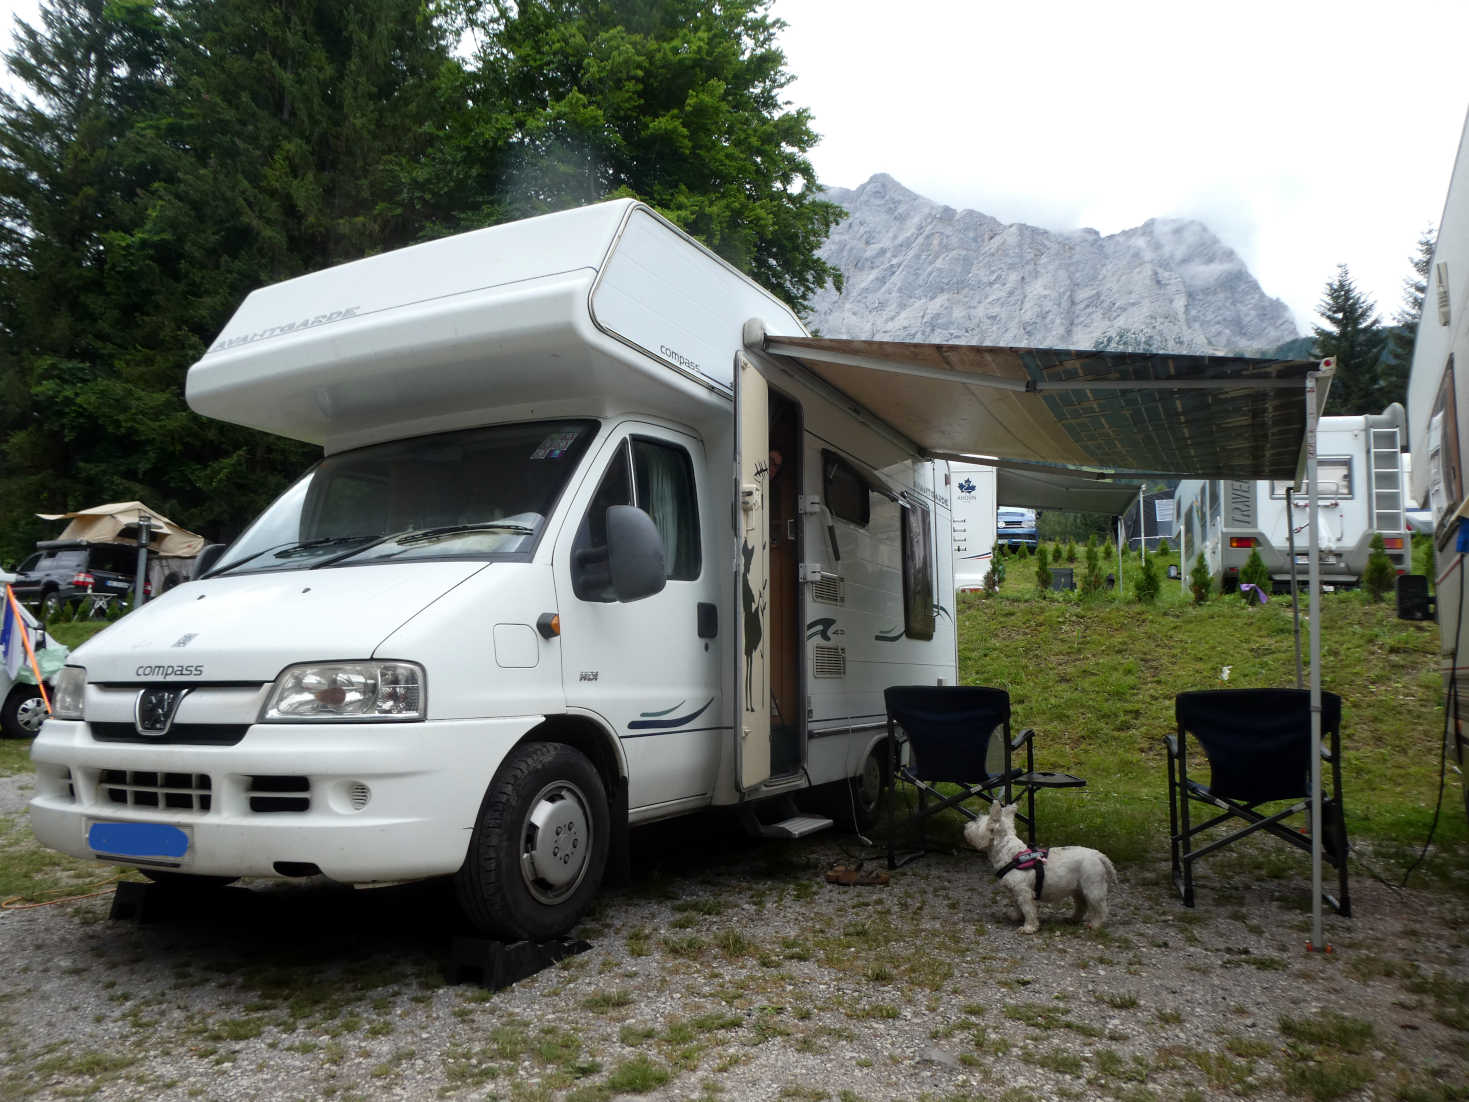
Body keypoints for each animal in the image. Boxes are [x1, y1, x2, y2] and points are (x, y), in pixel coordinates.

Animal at [963, 805, 1110, 934]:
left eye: (977, 822)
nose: (966, 826)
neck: (1009, 853)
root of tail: (1098, 855)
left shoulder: (1024, 892)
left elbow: (1029, 910)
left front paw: (1029, 928)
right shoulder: (1016, 891)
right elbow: (1017, 905)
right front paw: (1016, 916)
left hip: (1092, 887)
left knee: (1100, 908)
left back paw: (1095, 925)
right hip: (1078, 889)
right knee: (1081, 905)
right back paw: (1073, 919)